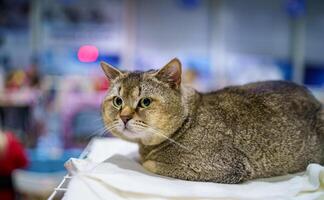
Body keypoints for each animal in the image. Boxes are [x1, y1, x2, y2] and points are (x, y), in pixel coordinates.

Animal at [101, 57, 324, 183]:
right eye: (118, 101)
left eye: (145, 102)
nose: (124, 117)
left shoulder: (225, 167)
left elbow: (149, 163)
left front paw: (145, 159)